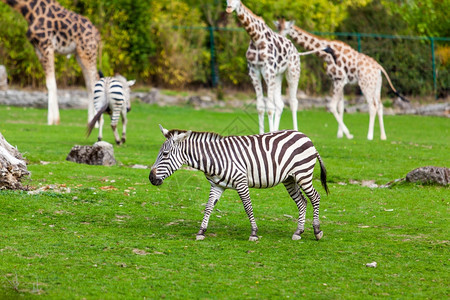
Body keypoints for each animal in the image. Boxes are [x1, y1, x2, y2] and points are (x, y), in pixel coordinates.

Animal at [149, 125, 328, 241]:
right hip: (289, 178)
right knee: (302, 202)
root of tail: (305, 136)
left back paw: (317, 231)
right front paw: (201, 231)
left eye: (165, 154)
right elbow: (208, 207)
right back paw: (298, 232)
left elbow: (248, 207)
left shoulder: (241, 182)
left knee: (315, 197)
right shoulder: (217, 185)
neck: (214, 159)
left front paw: (254, 233)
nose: (151, 178)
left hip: (303, 174)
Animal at [225, 0, 302, 134]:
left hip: (292, 72)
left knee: (293, 102)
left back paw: (296, 131)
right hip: (278, 76)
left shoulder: (268, 70)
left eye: (237, 0)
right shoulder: (254, 71)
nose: (229, 8)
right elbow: (260, 107)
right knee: (280, 104)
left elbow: (270, 108)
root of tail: (295, 50)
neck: (256, 38)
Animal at [274, 19, 408, 141]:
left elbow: (332, 106)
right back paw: (383, 136)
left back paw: (369, 136)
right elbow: (341, 106)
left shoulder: (339, 79)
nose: (280, 37)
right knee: (380, 106)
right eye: (278, 27)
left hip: (365, 85)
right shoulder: (338, 81)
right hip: (376, 86)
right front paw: (340, 134)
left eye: (285, 28)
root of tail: (379, 68)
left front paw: (348, 134)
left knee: (372, 106)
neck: (325, 54)